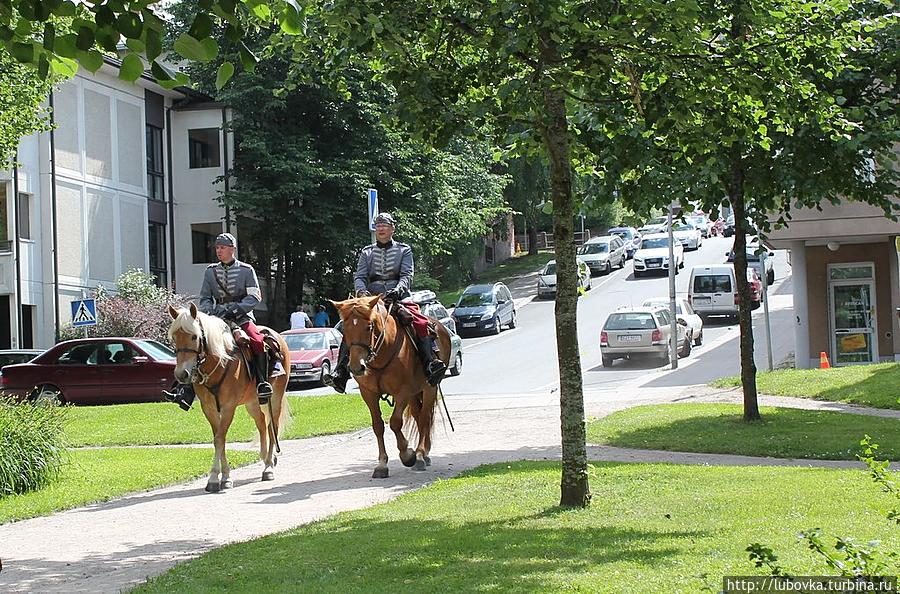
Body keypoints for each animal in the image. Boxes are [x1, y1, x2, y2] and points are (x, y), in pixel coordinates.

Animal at [167, 300, 290, 490]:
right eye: (174, 337)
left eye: (194, 337)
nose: (182, 374)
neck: (219, 362)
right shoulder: (209, 408)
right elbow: (218, 438)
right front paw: (218, 477)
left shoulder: (228, 407)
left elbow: (220, 438)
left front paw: (219, 477)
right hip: (252, 403)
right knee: (262, 424)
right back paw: (265, 458)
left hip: (275, 398)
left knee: (272, 426)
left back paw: (268, 466)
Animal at [332, 294, 454, 476]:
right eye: (345, 330)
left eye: (369, 327)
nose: (356, 366)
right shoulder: (368, 394)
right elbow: (378, 426)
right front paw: (382, 464)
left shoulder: (402, 392)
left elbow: (395, 422)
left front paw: (407, 455)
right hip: (414, 393)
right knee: (418, 416)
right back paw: (424, 454)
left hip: (429, 387)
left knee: (425, 418)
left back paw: (420, 455)